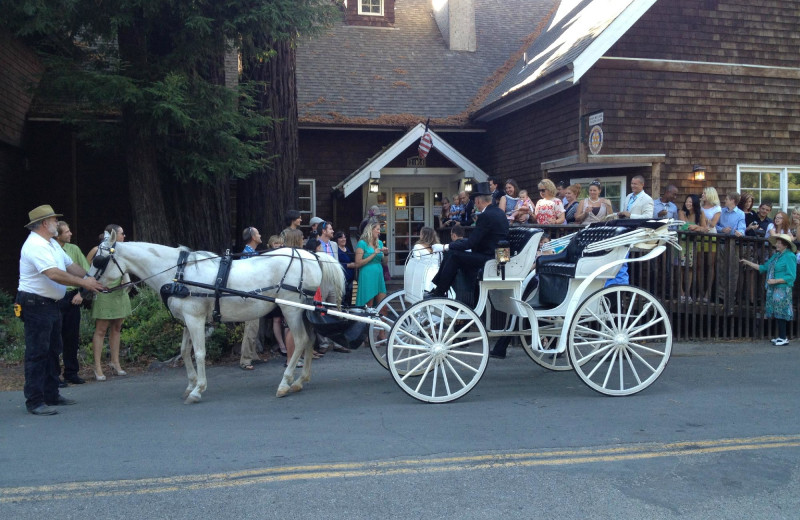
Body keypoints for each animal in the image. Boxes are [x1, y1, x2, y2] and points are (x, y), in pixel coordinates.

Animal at [90, 231, 344, 402]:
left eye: (98, 260)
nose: (89, 287)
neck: (179, 272)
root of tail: (310, 255)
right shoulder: (188, 320)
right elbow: (185, 352)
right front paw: (190, 384)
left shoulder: (195, 319)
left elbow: (199, 353)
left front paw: (197, 389)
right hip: (303, 309)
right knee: (309, 340)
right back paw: (300, 381)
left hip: (291, 309)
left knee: (301, 341)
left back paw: (285, 383)